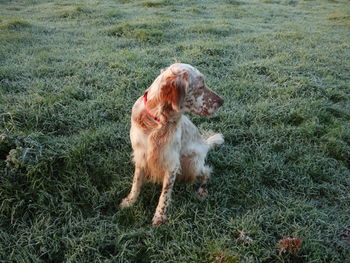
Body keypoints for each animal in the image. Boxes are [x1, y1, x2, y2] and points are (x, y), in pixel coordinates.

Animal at [120, 62, 224, 227]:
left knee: (206, 172)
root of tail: (204, 144)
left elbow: (165, 193)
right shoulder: (141, 155)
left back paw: (202, 191)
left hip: (192, 163)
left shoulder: (171, 162)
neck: (157, 122)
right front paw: (130, 201)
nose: (222, 101)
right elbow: (136, 183)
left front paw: (159, 217)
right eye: (200, 86)